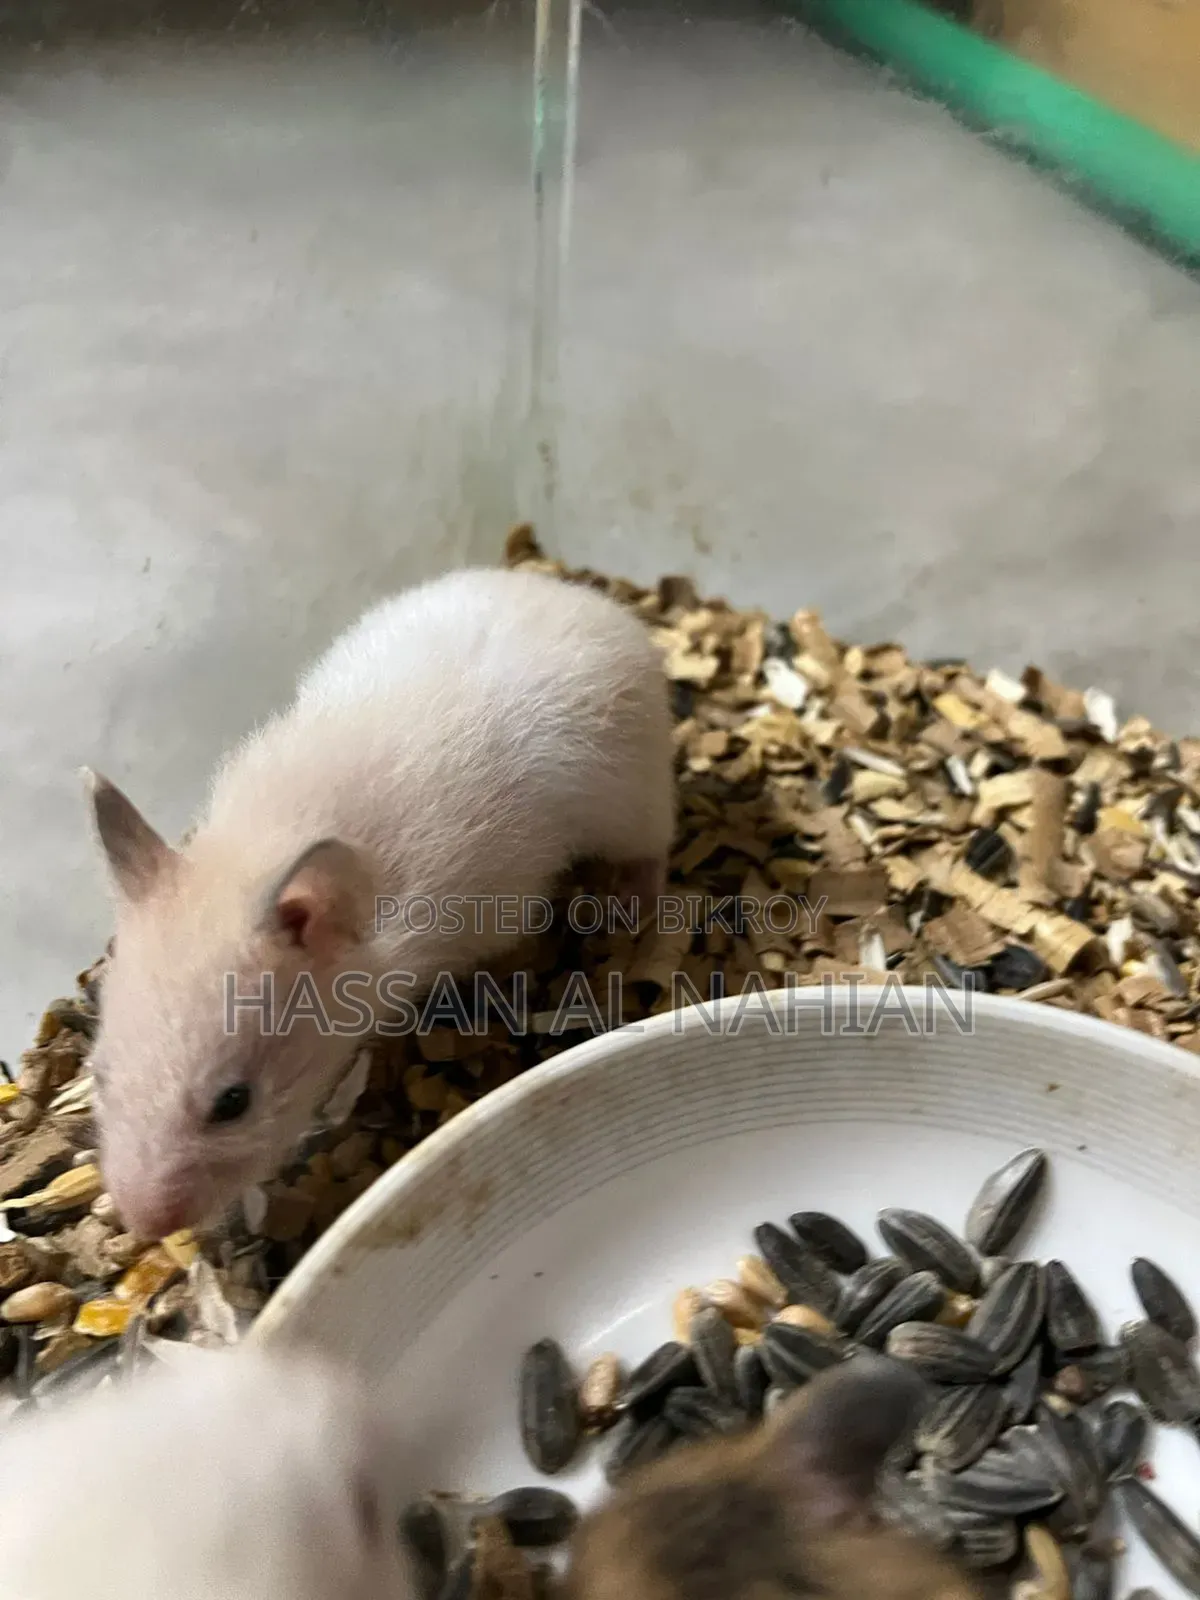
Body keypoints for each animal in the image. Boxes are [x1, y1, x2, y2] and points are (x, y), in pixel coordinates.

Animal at [83, 565, 675, 1241]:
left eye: (234, 1103)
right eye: (99, 1074)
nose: (141, 1225)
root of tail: (589, 598)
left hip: (633, 794)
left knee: (655, 847)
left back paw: (629, 906)